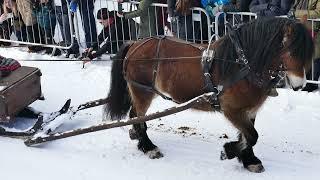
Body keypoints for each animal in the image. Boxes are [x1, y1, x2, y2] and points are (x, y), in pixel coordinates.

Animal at [104, 17, 314, 173]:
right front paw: (228, 152)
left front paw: (249, 160)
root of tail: (135, 44)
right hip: (142, 92)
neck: (241, 65)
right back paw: (149, 147)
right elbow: (252, 136)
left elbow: (248, 137)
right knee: (137, 117)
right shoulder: (232, 110)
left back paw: (137, 137)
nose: (300, 85)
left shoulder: (249, 110)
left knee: (135, 116)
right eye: (291, 52)